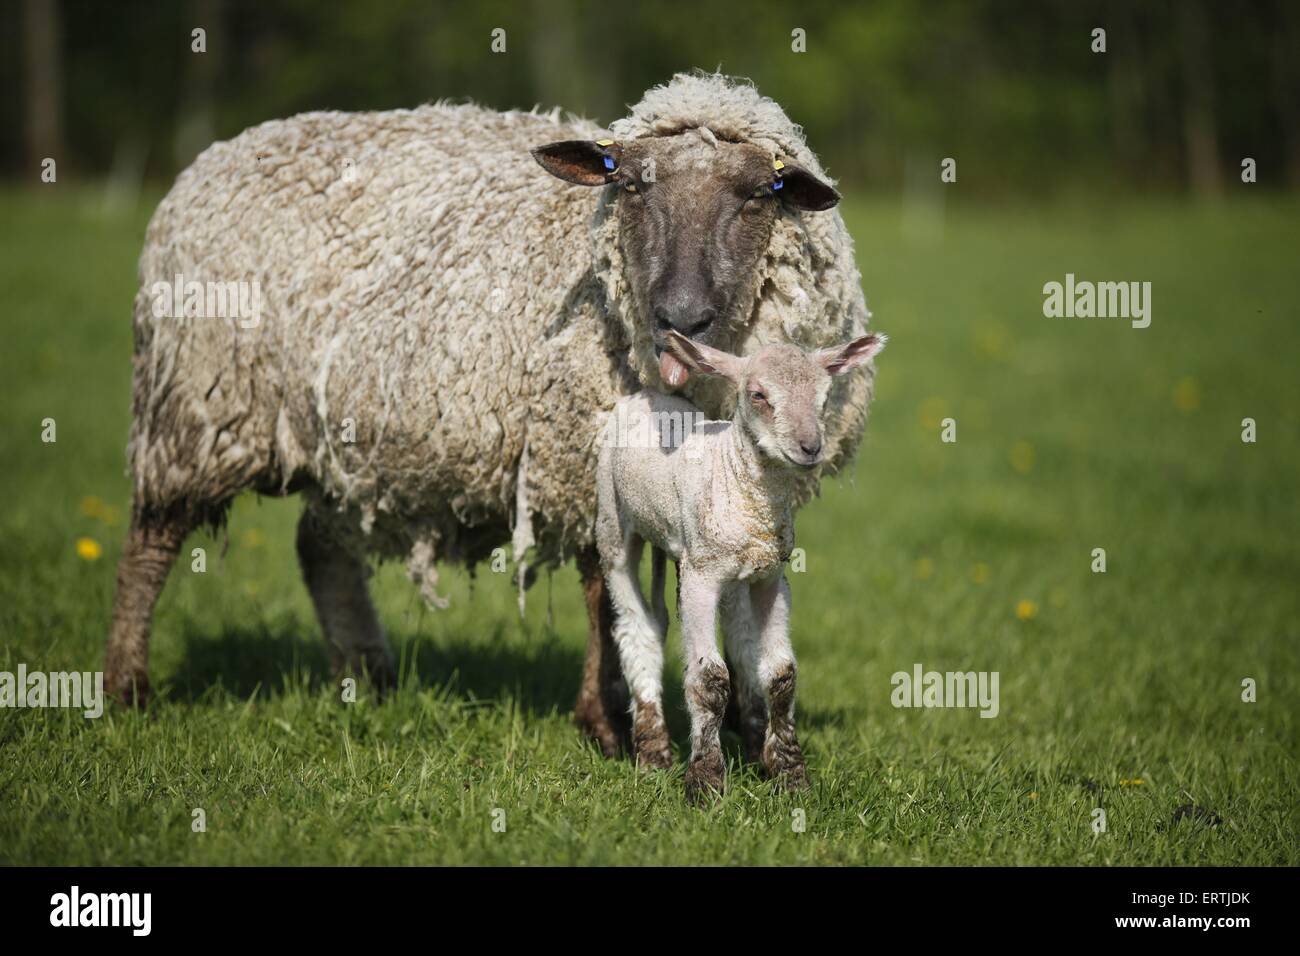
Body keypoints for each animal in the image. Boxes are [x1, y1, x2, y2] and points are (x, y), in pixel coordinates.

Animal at [101, 74, 878, 749]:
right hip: (197, 403)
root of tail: (214, 156)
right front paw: (610, 723)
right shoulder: (581, 457)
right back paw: (125, 687)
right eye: (628, 185)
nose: (681, 318)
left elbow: (740, 602)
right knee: (153, 539)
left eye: (760, 195)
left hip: (345, 437)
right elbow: (604, 592)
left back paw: (366, 677)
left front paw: (750, 726)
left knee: (320, 549)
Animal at [595, 329, 883, 801]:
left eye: (824, 398)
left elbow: (782, 674)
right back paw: (653, 751)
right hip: (613, 522)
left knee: (722, 631)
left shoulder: (771, 575)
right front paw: (706, 782)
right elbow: (709, 679)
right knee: (636, 627)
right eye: (758, 395)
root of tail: (646, 393)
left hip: (709, 559)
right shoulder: (701, 577)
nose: (810, 448)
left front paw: (789, 773)